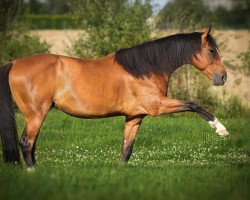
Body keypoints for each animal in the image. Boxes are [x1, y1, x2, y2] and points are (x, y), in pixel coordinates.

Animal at [0, 27, 229, 170]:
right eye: (211, 50)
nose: (223, 77)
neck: (144, 69)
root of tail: (14, 63)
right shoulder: (157, 106)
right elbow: (194, 105)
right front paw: (220, 129)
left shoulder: (135, 116)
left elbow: (127, 149)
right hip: (36, 114)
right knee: (26, 142)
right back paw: (33, 172)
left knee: (31, 143)